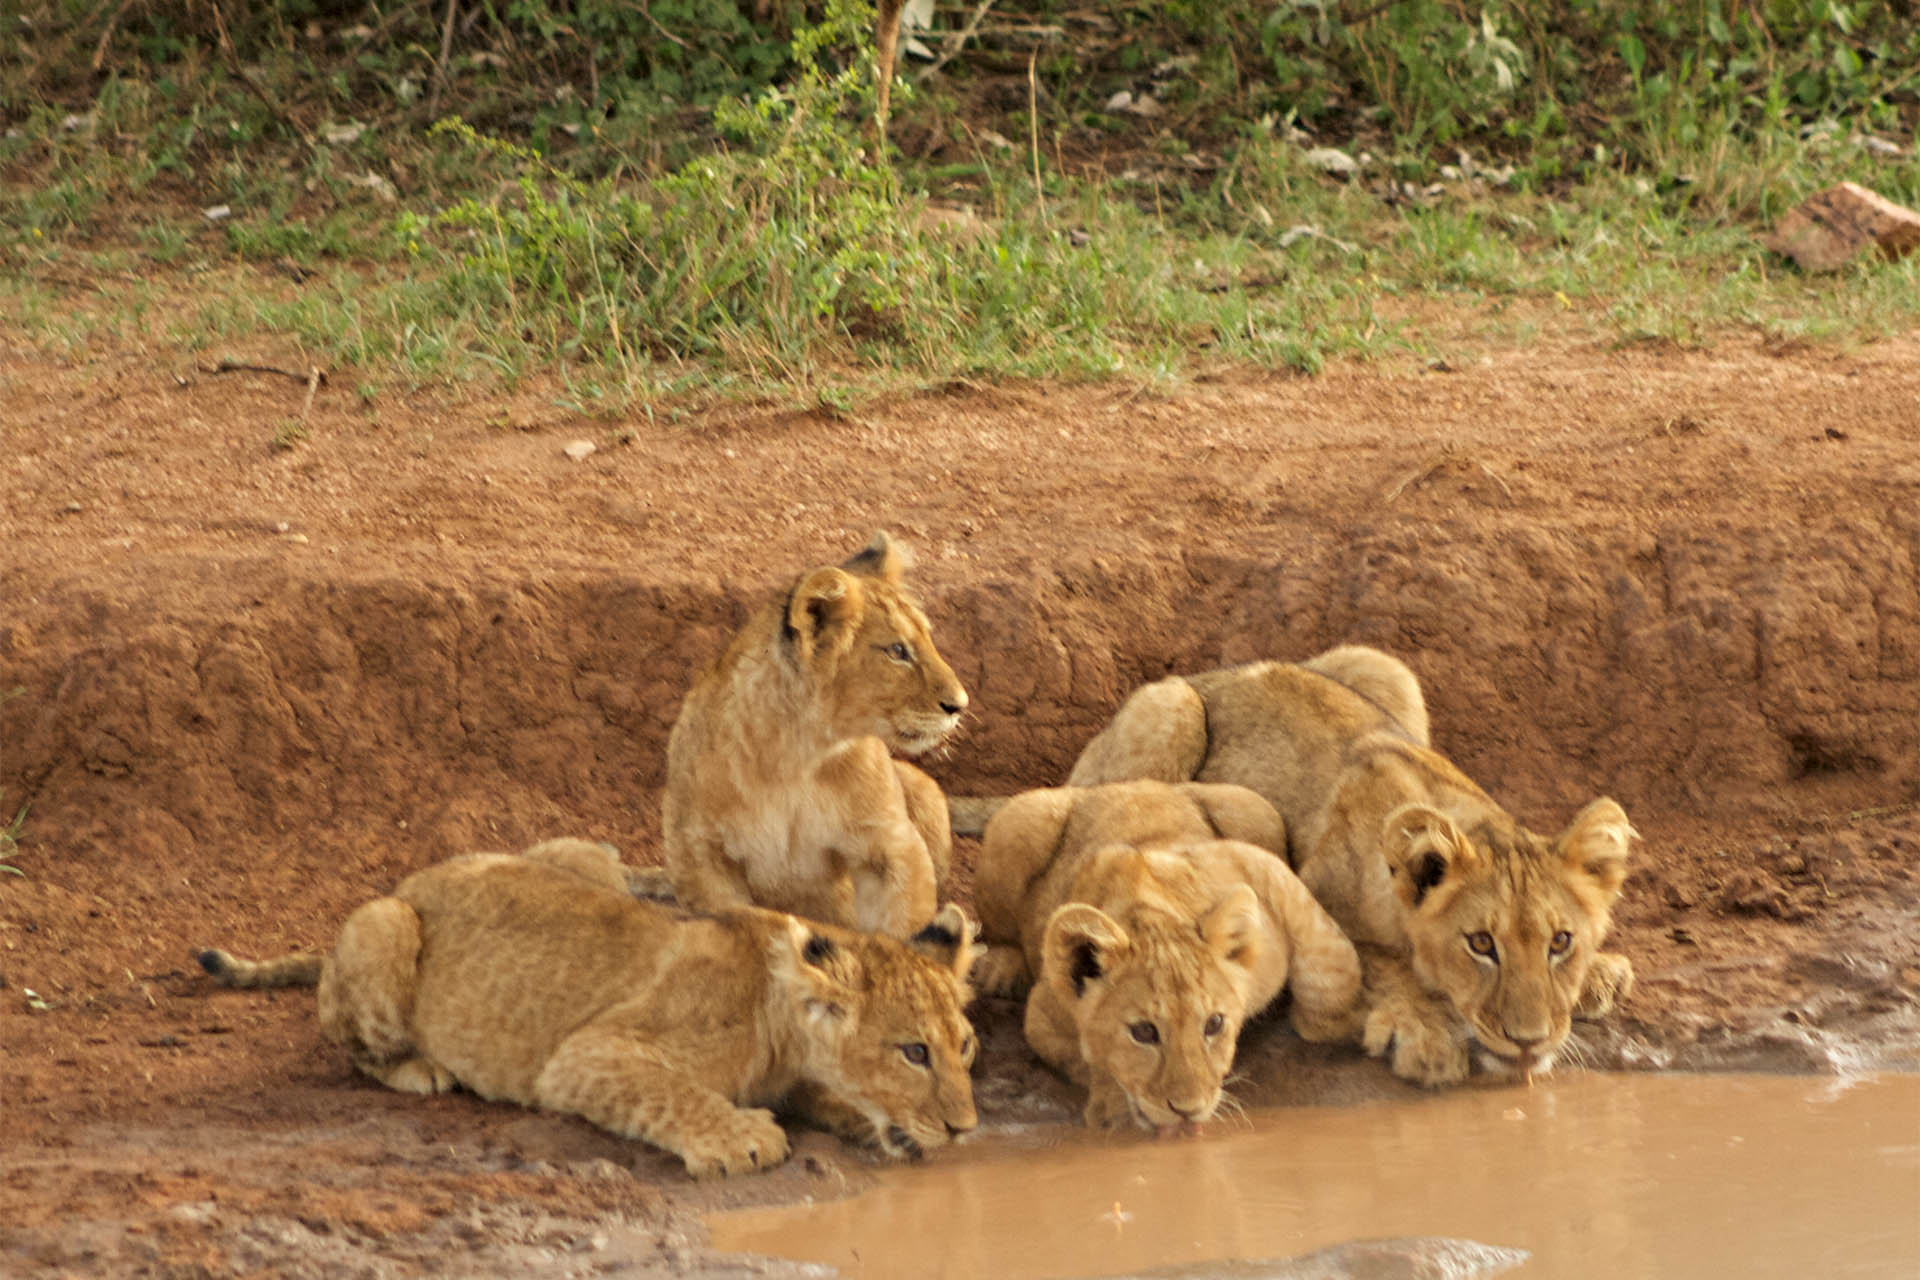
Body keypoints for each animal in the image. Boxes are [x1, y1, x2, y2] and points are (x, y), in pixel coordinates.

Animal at [198, 838, 981, 1179]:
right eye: (914, 1051)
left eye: (965, 1046)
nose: (968, 1129)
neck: (779, 1018)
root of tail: (410, 879)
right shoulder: (585, 1053)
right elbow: (669, 1091)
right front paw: (740, 1138)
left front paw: (875, 1122)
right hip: (383, 929)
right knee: (355, 1045)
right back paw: (422, 1070)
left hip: (592, 857)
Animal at [648, 532, 968, 938]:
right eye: (897, 650)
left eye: (927, 639)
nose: (960, 705)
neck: (796, 754)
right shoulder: (698, 853)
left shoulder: (892, 842)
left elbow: (903, 922)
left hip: (924, 789)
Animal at [972, 780, 1362, 1131]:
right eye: (1144, 1032)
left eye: (1214, 1024)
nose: (1189, 1110)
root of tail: (1125, 784)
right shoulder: (1042, 1015)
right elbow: (1089, 1059)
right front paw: (1114, 1108)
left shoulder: (1251, 865)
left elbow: (1328, 955)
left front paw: (1336, 1025)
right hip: (1019, 818)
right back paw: (1000, 969)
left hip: (1251, 806)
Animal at [1053, 645, 1636, 1087]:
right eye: (1480, 944)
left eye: (1560, 942)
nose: (1529, 1042)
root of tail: (1207, 671)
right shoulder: (1305, 887)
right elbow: (1373, 961)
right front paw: (1423, 1033)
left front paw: (1599, 973)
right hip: (1169, 710)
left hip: (1386, 668)